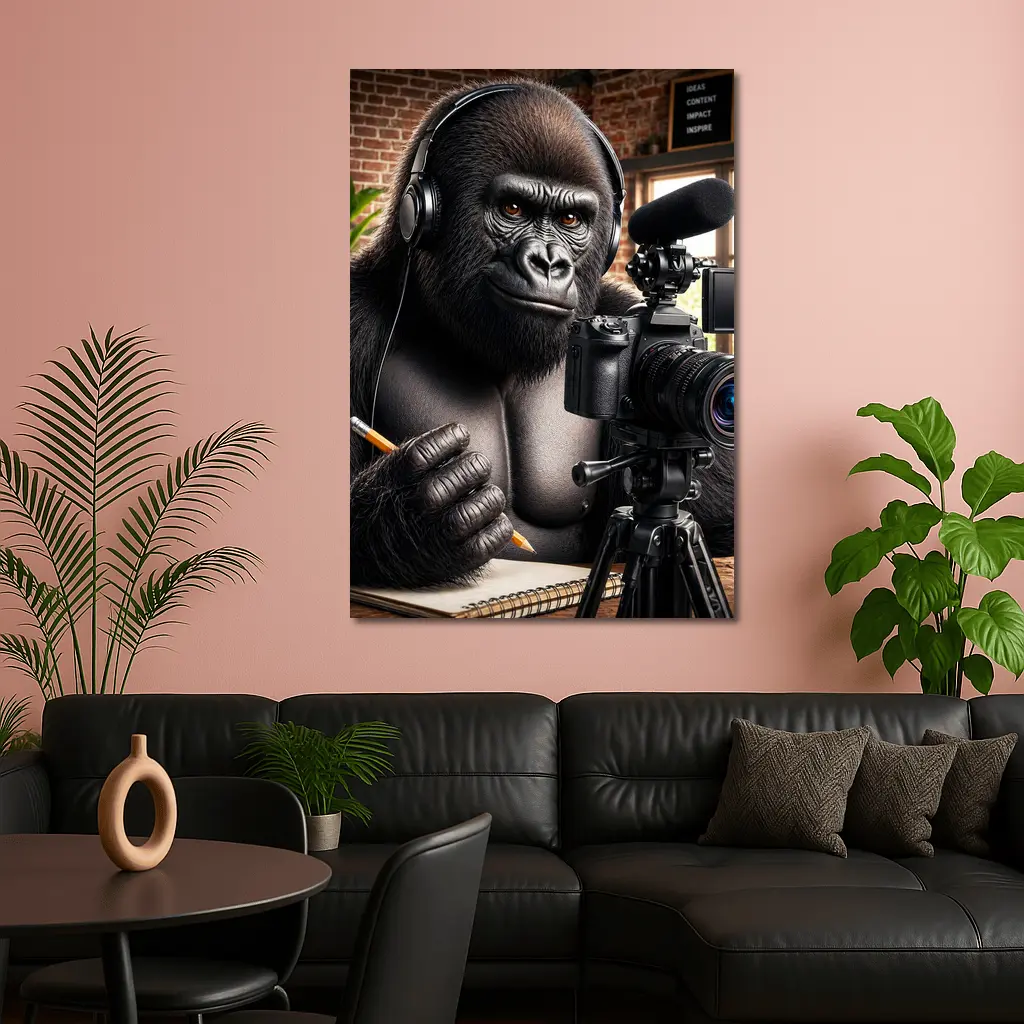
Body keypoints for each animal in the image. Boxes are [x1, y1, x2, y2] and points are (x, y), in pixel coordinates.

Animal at [350, 79, 734, 589]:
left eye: (571, 220)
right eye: (513, 209)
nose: (549, 262)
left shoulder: (614, 306)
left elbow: (717, 518)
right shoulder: (353, 317)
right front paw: (417, 509)